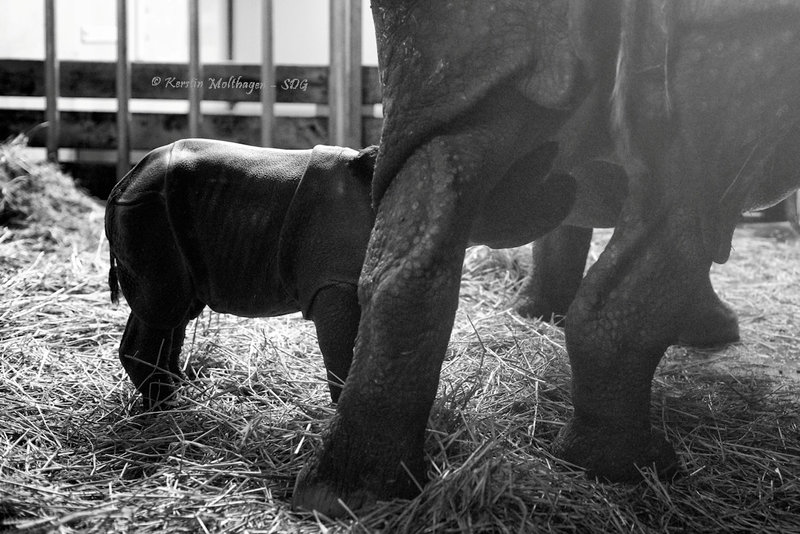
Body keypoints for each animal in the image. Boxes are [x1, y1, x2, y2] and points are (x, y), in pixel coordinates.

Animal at [106, 139, 378, 410]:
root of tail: (124, 183)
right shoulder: (332, 279)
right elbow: (343, 351)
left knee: (177, 311)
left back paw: (179, 393)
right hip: (147, 211)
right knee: (162, 309)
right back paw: (168, 406)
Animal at [294, 0, 800, 520]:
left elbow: (563, 225)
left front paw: (537, 314)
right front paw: (713, 330)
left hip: (452, 55)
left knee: (431, 187)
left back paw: (347, 496)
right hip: (736, 43)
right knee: (691, 206)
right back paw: (636, 470)